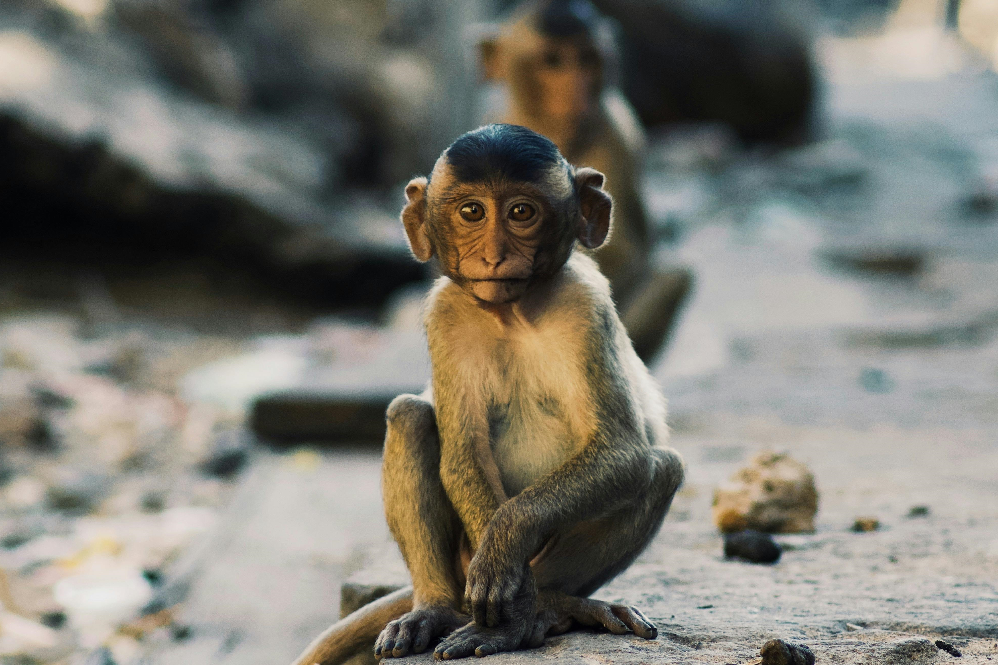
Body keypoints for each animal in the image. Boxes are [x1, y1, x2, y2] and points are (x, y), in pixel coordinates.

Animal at [289, 124, 684, 665]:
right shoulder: (446, 313)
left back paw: (550, 607)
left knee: (660, 468)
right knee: (409, 416)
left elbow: (623, 453)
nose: (494, 255)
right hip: (460, 570)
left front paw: (505, 555)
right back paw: (435, 610)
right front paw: (500, 590)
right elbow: (463, 451)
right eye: (472, 212)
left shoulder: (585, 304)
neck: (512, 312)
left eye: (521, 212)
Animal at [477, 0, 693, 362]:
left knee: (675, 278)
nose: (576, 92)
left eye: (587, 59)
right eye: (552, 61)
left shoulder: (615, 135)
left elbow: (617, 253)